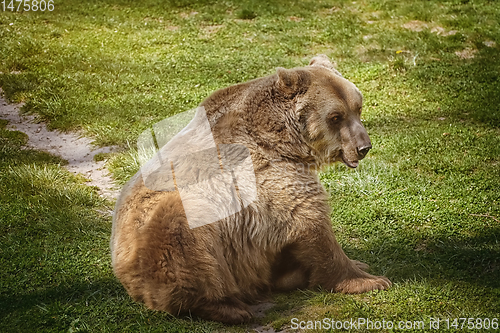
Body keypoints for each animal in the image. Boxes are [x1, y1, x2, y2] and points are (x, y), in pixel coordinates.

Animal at [109, 55, 390, 324]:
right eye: (335, 117)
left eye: (357, 108)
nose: (363, 147)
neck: (284, 141)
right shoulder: (266, 176)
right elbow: (310, 221)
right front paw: (371, 280)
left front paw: (359, 263)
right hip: (166, 234)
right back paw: (229, 308)